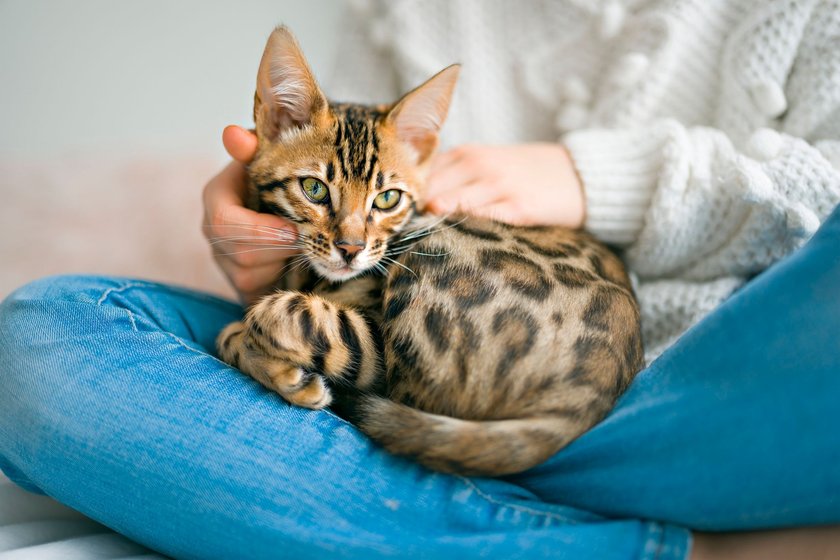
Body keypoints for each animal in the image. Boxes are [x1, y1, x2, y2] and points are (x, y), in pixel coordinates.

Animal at [217, 24, 644, 474]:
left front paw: (280, 369)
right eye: (314, 188)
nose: (350, 249)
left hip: (431, 254)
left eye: (388, 199)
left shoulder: (376, 351)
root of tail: (591, 391)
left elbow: (261, 318)